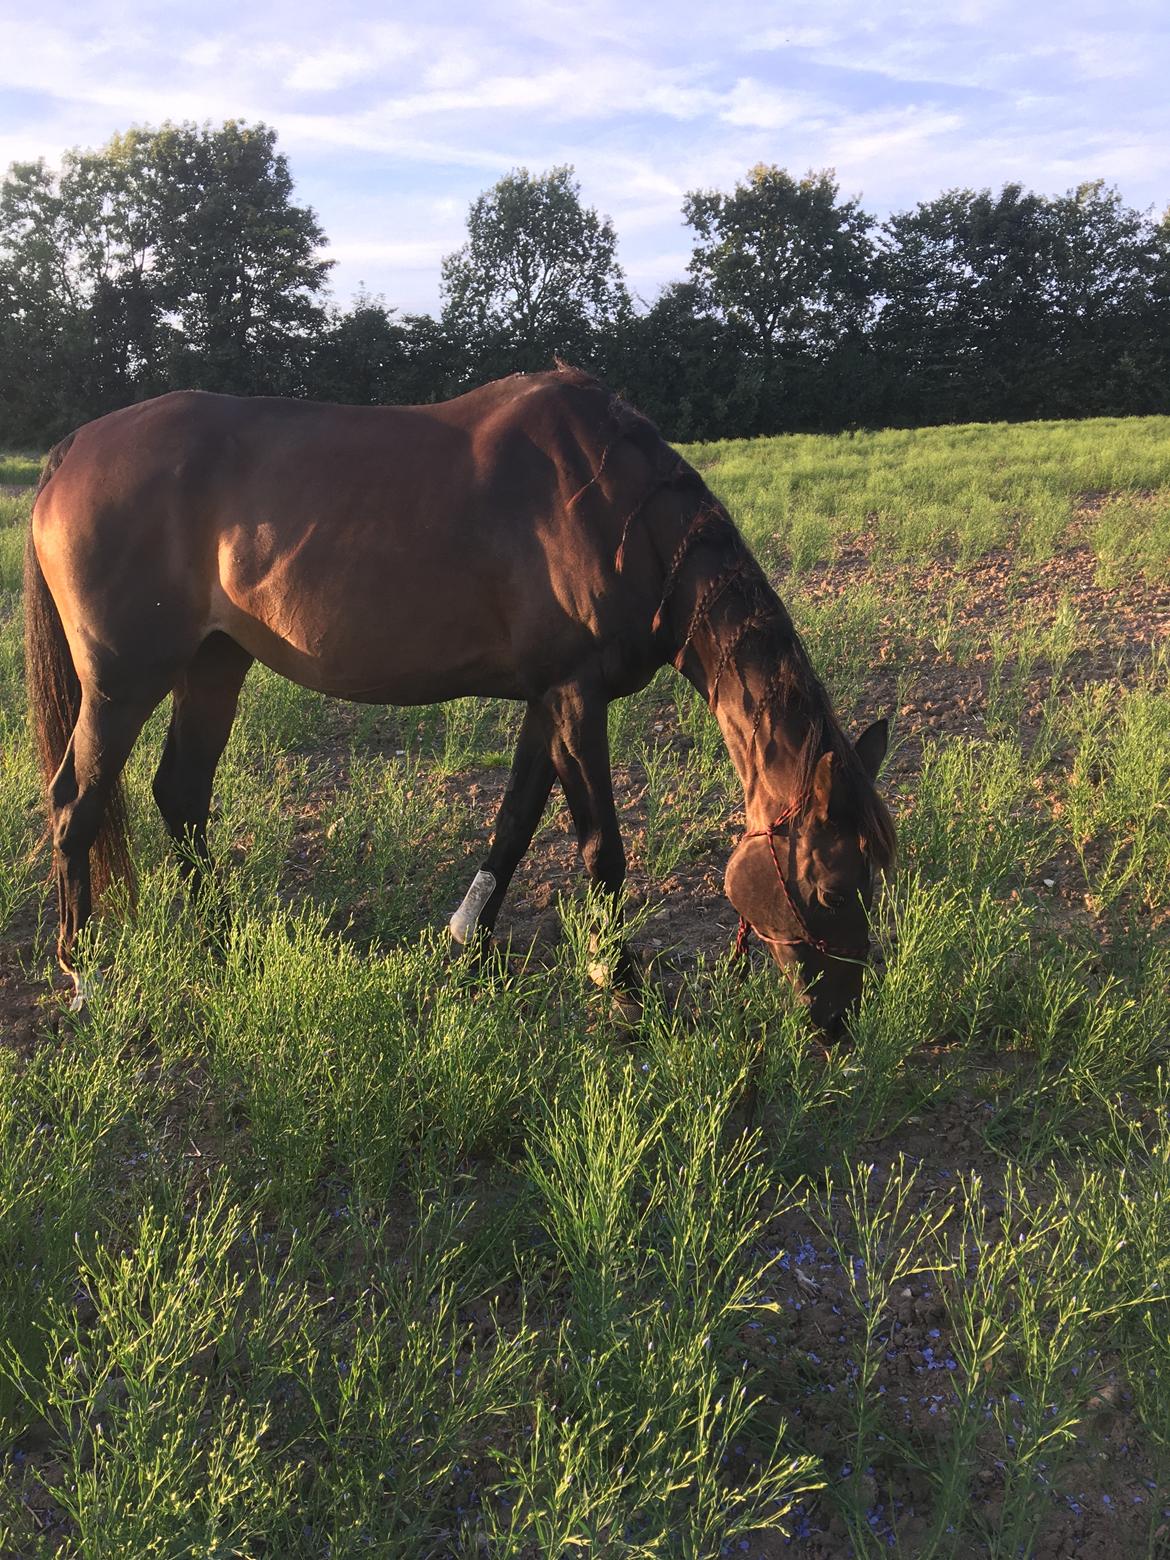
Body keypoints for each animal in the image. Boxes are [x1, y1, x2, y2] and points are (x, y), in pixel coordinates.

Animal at [20, 363, 898, 1023]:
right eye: (830, 885)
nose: (838, 1023)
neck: (619, 513)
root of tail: (73, 449)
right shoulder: (575, 695)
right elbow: (600, 849)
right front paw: (617, 980)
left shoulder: (548, 699)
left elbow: (514, 824)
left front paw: (464, 942)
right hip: (121, 684)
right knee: (76, 804)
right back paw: (85, 976)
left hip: (213, 664)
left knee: (182, 795)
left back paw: (220, 943)